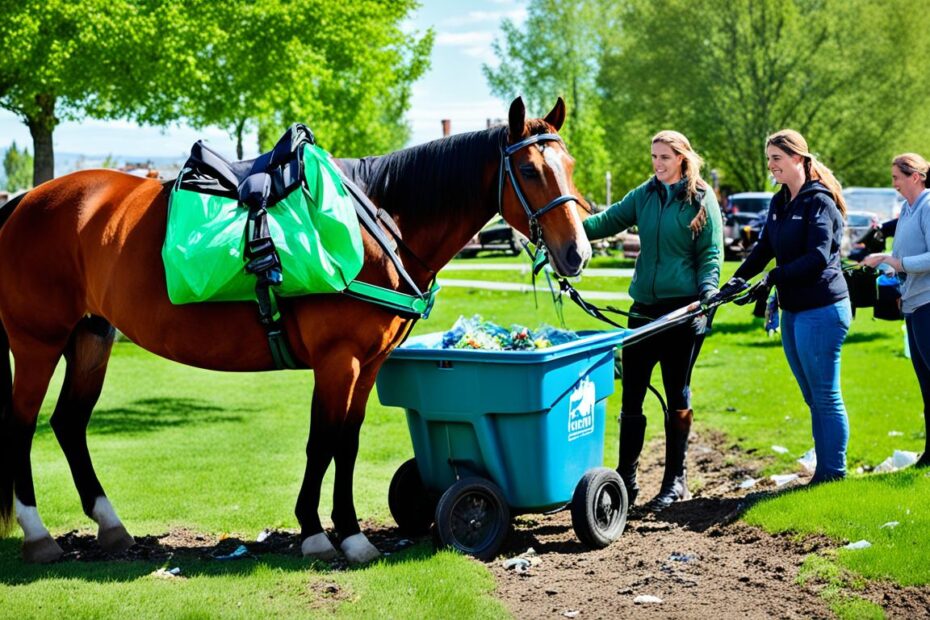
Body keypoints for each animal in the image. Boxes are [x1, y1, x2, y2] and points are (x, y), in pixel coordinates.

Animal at [0, 95, 588, 560]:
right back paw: (38, 535)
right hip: (37, 344)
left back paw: (111, 525)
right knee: (22, 426)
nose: (578, 253)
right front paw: (321, 532)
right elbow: (321, 443)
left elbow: (345, 443)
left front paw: (345, 532)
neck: (371, 225)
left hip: (91, 337)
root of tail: (24, 200)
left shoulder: (367, 364)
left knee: (69, 424)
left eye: (571, 163)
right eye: (530, 171)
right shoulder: (337, 360)